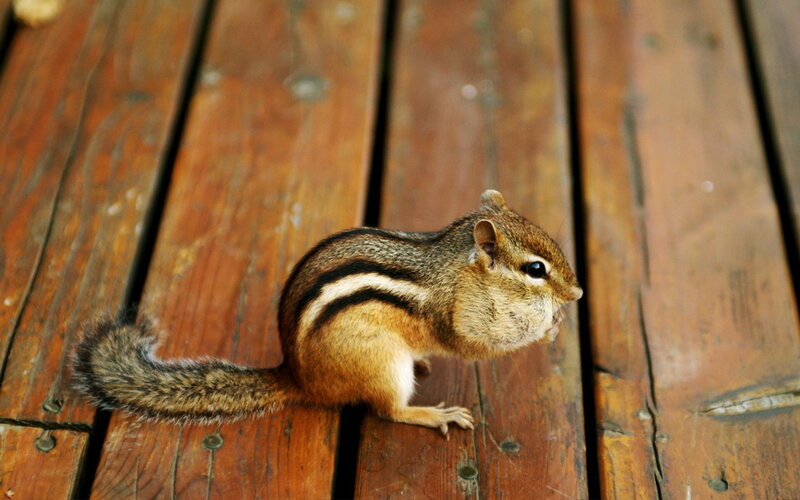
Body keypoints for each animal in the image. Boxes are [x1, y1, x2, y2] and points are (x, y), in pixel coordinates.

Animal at [72, 190, 582, 435]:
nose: (577, 293)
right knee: (390, 411)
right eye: (535, 269)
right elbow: (475, 345)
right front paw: (547, 326)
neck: (456, 264)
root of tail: (299, 378)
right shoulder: (455, 314)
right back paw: (431, 414)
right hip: (381, 364)